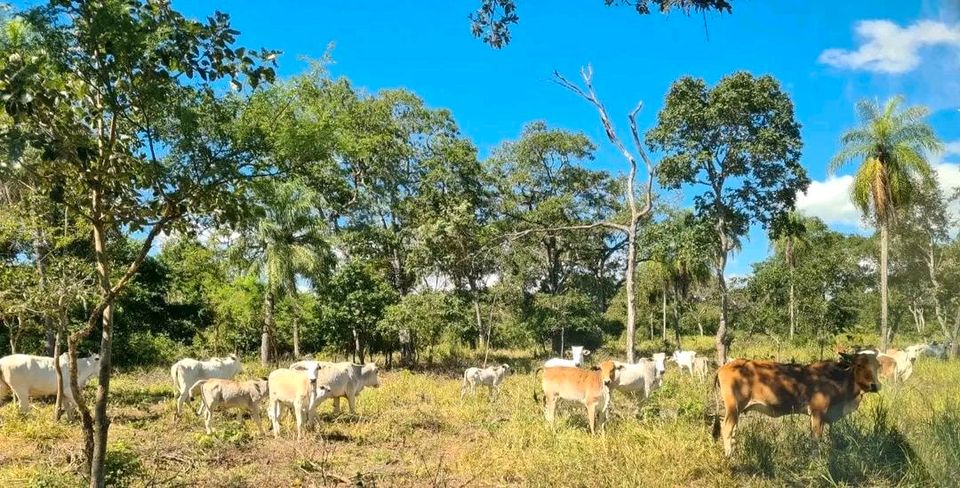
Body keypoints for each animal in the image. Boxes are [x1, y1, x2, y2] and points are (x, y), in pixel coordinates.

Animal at [708, 352, 880, 456]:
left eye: (877, 366)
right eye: (859, 365)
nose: (874, 385)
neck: (835, 378)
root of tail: (723, 367)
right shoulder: (817, 413)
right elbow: (816, 439)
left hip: (736, 410)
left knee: (732, 429)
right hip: (733, 408)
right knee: (726, 428)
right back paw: (729, 454)